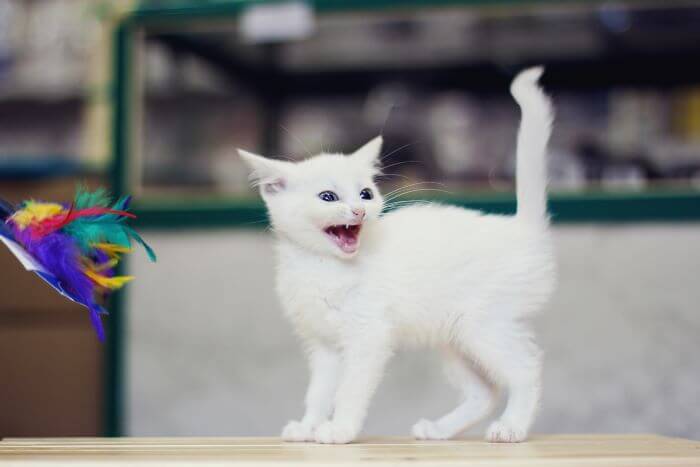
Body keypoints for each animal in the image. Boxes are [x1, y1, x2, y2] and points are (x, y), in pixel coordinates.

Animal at [238, 67, 556, 444]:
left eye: (366, 193)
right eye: (328, 197)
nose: (359, 210)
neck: (322, 267)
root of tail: (519, 228)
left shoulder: (368, 336)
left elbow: (350, 389)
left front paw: (340, 429)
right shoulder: (324, 344)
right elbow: (319, 391)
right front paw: (308, 426)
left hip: (483, 324)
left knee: (527, 368)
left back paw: (513, 426)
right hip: (453, 335)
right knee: (485, 391)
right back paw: (438, 430)